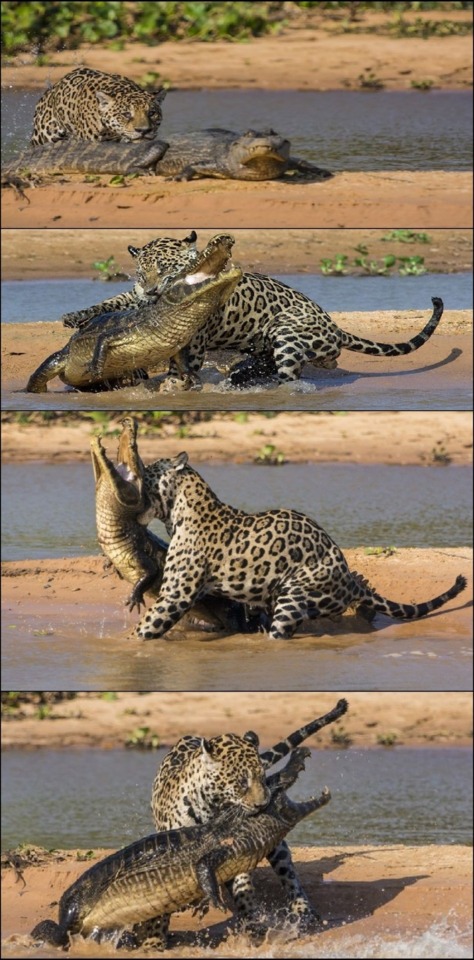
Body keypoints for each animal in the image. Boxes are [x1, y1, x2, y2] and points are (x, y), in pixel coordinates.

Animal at [58, 231, 445, 386]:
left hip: (287, 330)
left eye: (166, 269)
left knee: (292, 371)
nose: (153, 289)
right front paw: (74, 315)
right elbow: (116, 300)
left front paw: (176, 381)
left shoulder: (194, 338)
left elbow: (183, 362)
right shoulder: (135, 295)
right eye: (142, 271)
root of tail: (334, 326)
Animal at [134, 452, 466, 642]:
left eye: (146, 472)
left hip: (294, 595)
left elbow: (148, 626)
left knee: (281, 631)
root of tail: (349, 580)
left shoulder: (176, 595)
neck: (181, 510)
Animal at [145, 698, 348, 946]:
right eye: (242, 781)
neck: (211, 809)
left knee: (290, 876)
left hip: (278, 849)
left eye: (262, 777)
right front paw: (154, 941)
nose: (264, 804)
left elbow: (242, 886)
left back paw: (303, 911)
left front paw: (253, 923)